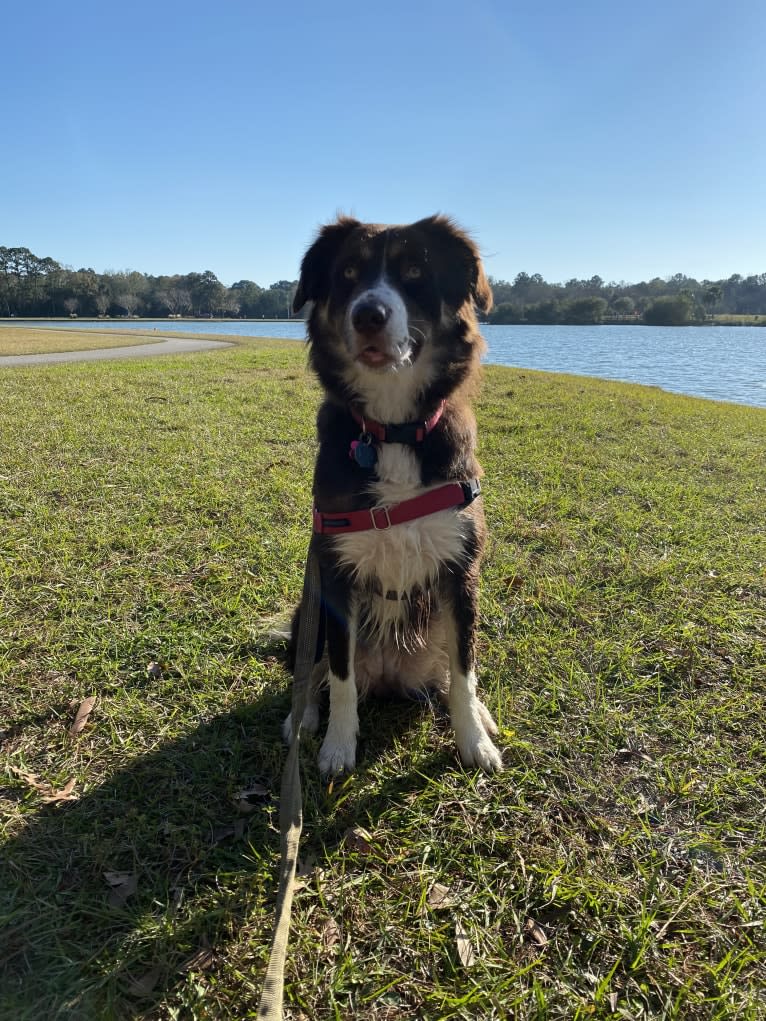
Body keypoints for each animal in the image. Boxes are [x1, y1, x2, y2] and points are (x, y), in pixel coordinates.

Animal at [283, 217, 504, 771]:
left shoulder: (460, 572)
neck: (393, 431)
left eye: (414, 271)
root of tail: (387, 675)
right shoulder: (335, 573)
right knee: (311, 672)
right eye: (347, 273)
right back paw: (303, 718)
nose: (368, 315)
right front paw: (338, 745)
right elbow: (340, 678)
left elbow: (465, 673)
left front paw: (474, 741)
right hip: (308, 610)